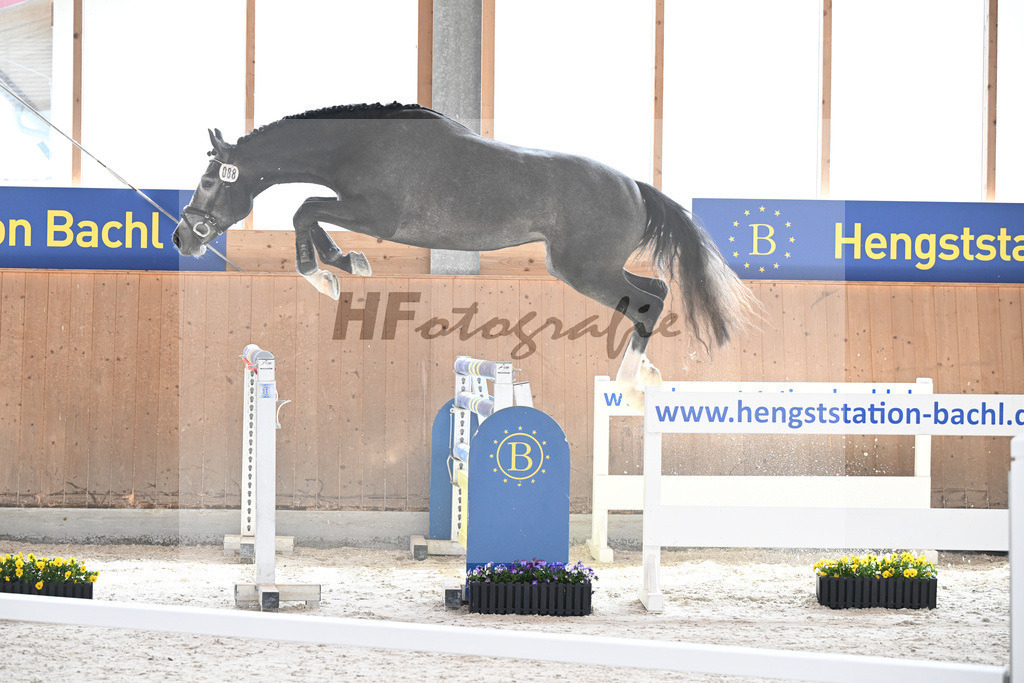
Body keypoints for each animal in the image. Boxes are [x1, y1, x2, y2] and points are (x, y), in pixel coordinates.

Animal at [172, 102, 754, 408]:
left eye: (209, 181)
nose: (183, 238)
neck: (360, 144)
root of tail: (634, 187)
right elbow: (308, 211)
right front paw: (341, 266)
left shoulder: (378, 216)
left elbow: (304, 209)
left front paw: (329, 272)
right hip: (590, 269)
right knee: (654, 293)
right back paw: (643, 376)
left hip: (584, 270)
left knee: (650, 300)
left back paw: (629, 384)